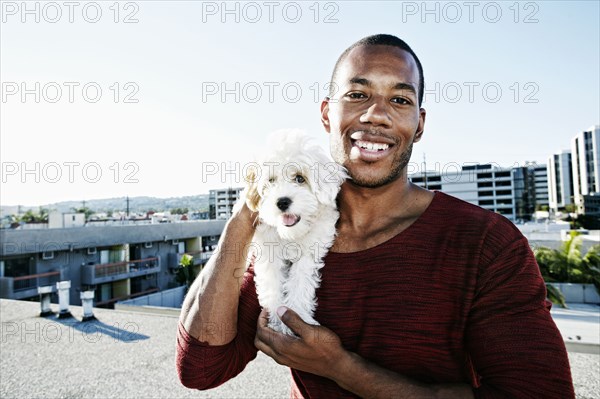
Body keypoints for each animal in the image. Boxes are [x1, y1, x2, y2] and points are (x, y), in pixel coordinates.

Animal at [240, 130, 344, 334]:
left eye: (300, 178)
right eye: (271, 181)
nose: (282, 202)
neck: (291, 234)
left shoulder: (311, 249)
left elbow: (300, 280)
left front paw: (295, 315)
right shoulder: (267, 250)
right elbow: (272, 282)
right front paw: (277, 318)